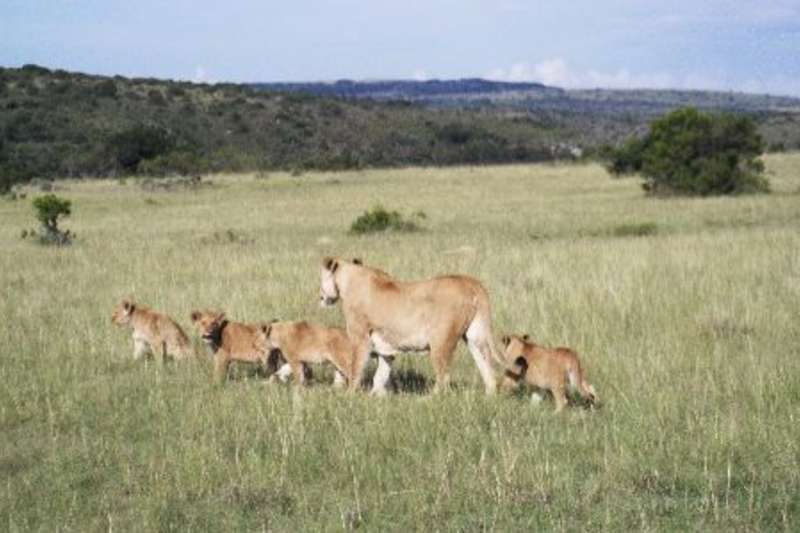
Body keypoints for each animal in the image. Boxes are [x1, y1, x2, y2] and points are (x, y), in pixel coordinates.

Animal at [319, 257, 501, 395]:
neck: (348, 280)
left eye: (320, 279)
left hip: (440, 341)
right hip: (475, 336)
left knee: (444, 378)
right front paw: (376, 397)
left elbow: (355, 368)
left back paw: (428, 399)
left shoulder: (360, 338)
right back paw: (489, 395)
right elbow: (380, 375)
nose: (320, 296)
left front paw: (349, 396)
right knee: (488, 370)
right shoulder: (385, 347)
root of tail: (472, 283)